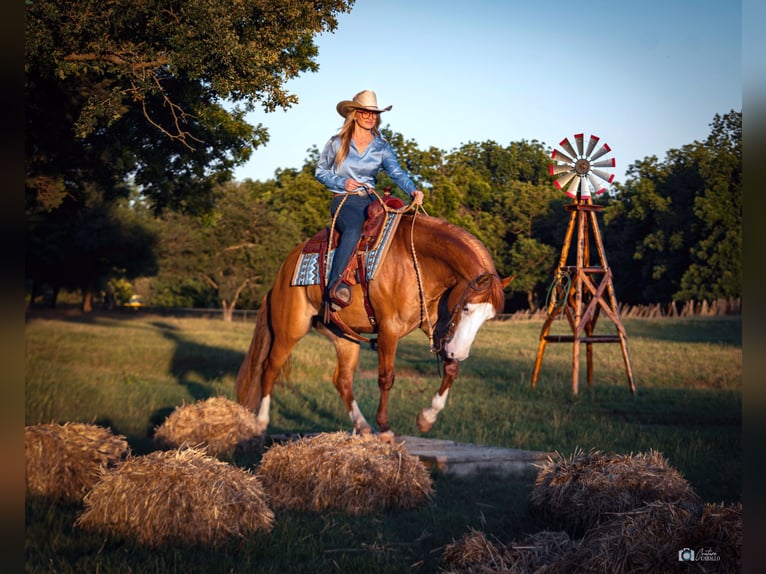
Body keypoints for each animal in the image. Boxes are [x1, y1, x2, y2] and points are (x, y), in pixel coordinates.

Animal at [238, 209, 516, 444]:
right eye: (466, 308)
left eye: (488, 318)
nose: (460, 351)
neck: (418, 261)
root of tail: (283, 274)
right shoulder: (389, 330)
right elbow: (386, 377)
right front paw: (385, 428)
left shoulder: (436, 326)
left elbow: (450, 369)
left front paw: (427, 418)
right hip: (289, 331)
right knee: (269, 369)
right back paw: (261, 423)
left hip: (344, 337)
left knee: (342, 381)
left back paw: (362, 426)